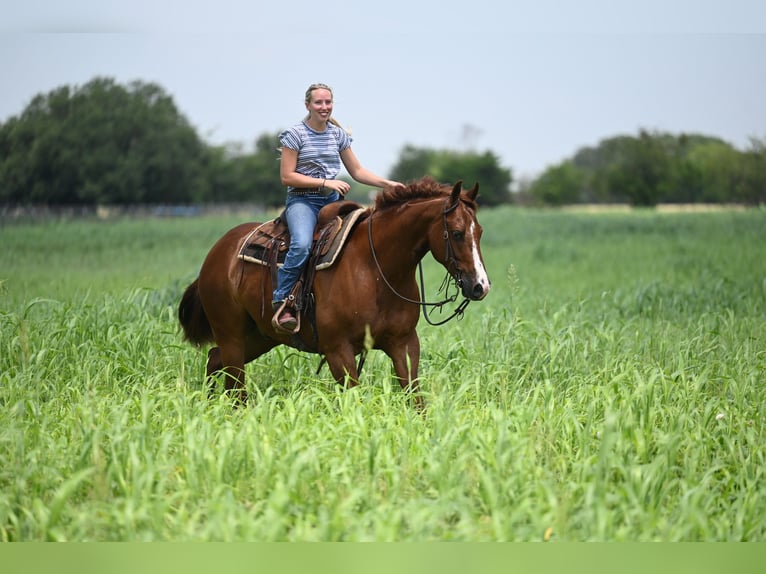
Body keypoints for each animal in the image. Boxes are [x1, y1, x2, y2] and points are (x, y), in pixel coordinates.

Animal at [178, 177, 491, 408]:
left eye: (480, 232)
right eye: (458, 233)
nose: (480, 286)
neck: (375, 268)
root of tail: (219, 251)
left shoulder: (404, 344)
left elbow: (415, 400)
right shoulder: (338, 351)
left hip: (260, 336)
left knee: (214, 360)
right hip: (231, 334)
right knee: (235, 386)